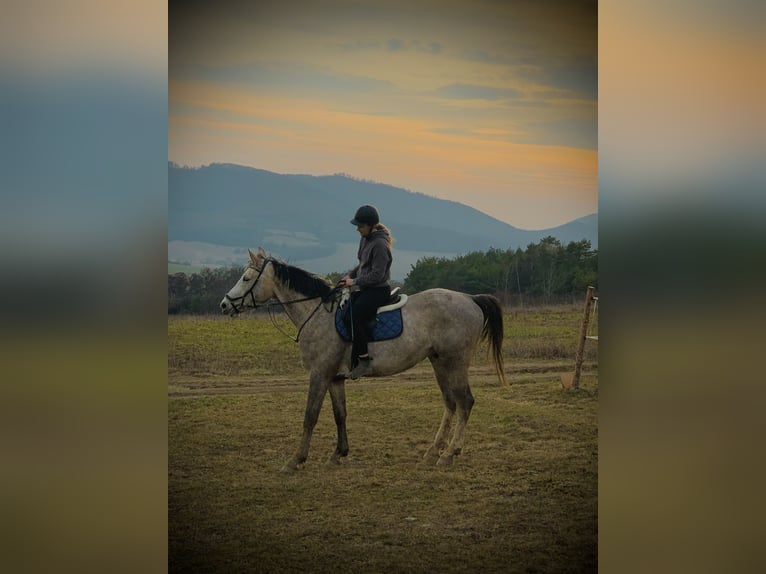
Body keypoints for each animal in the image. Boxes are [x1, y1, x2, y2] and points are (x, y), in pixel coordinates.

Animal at [221, 247, 507, 472]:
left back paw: (449, 454)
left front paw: (295, 460)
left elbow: (310, 415)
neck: (318, 314)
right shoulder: (335, 378)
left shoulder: (319, 374)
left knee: (465, 402)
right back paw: (433, 452)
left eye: (246, 278)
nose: (224, 304)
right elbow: (340, 415)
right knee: (450, 403)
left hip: (455, 362)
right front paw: (338, 454)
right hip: (439, 362)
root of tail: (470, 298)